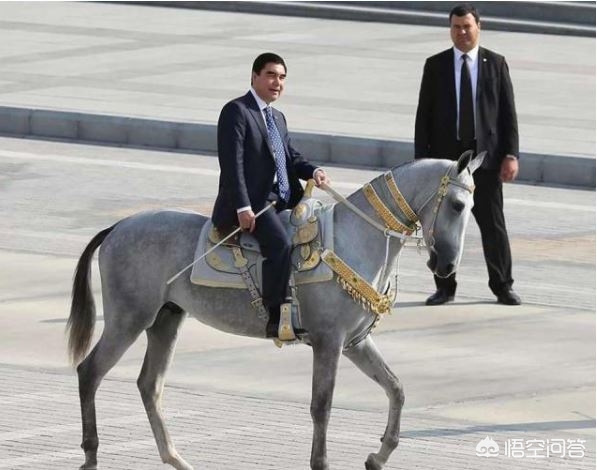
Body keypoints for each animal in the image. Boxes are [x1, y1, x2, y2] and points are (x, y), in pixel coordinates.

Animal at [66, 151, 484, 470]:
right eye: (457, 205)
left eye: (472, 208)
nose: (447, 266)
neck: (354, 238)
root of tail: (117, 226)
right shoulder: (329, 342)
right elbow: (322, 405)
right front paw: (322, 463)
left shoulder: (355, 343)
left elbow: (396, 388)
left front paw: (378, 456)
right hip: (129, 319)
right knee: (90, 372)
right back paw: (91, 455)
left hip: (166, 319)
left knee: (149, 385)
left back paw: (175, 458)